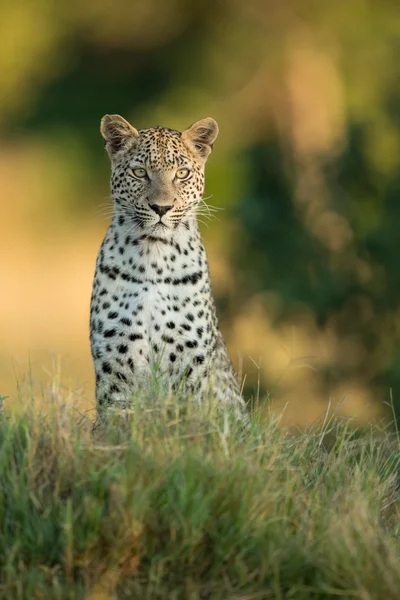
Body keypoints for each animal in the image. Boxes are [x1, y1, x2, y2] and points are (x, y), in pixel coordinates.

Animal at [90, 115, 245, 420]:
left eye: (182, 173)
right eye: (139, 172)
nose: (161, 208)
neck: (154, 256)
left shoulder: (190, 364)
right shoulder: (115, 362)